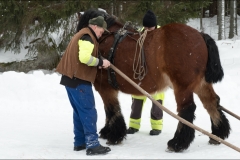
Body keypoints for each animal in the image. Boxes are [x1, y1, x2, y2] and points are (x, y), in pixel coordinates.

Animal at [77, 9, 231, 152]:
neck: (104, 39)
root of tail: (200, 35)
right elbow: (109, 110)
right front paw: (107, 131)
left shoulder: (105, 88)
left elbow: (111, 110)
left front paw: (114, 135)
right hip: (201, 83)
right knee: (212, 102)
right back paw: (218, 134)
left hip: (182, 86)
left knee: (187, 109)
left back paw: (177, 143)